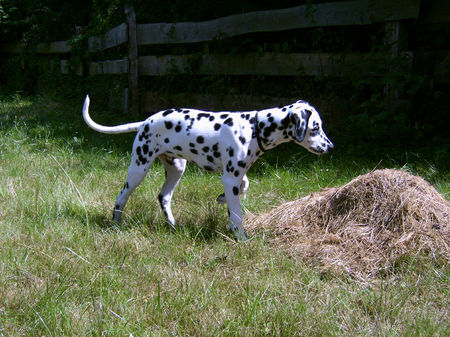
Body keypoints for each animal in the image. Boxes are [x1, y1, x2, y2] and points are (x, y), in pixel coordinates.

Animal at [82, 95, 332, 239]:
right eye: (315, 127)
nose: (330, 146)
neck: (255, 128)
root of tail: (145, 122)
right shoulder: (230, 177)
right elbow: (237, 215)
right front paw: (241, 238)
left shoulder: (235, 176)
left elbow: (245, 185)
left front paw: (222, 198)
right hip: (139, 168)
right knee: (122, 195)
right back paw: (117, 223)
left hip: (176, 169)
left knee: (164, 196)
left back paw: (172, 225)